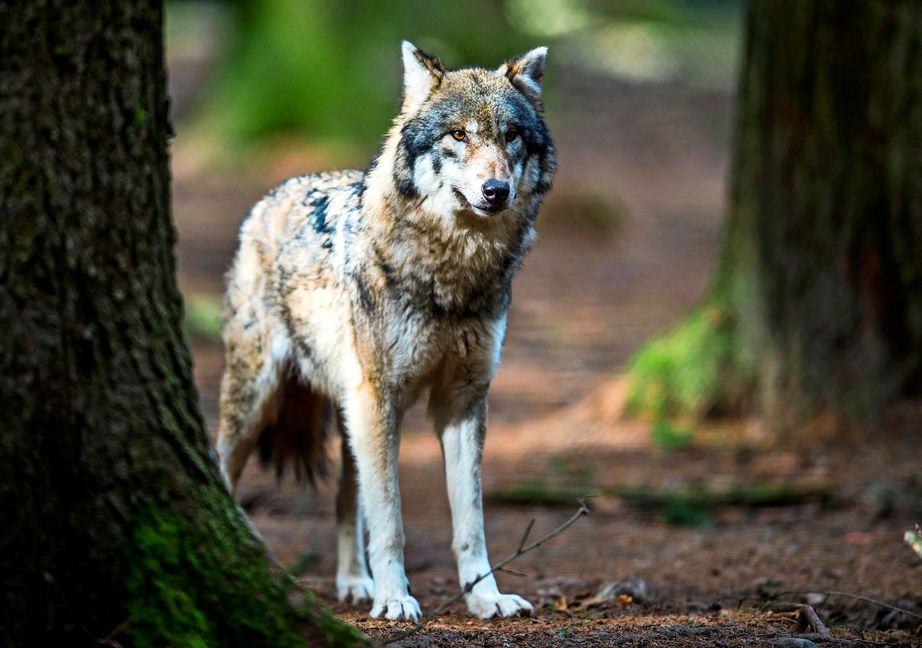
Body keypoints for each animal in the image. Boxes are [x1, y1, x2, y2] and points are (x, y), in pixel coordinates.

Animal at [216, 41, 556, 621]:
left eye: (511, 135)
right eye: (458, 135)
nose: (496, 191)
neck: (451, 276)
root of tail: (274, 194)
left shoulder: (462, 400)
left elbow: (471, 522)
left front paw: (485, 597)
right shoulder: (381, 398)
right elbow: (391, 520)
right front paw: (396, 598)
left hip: (352, 413)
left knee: (344, 499)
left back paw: (356, 583)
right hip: (262, 401)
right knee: (222, 468)